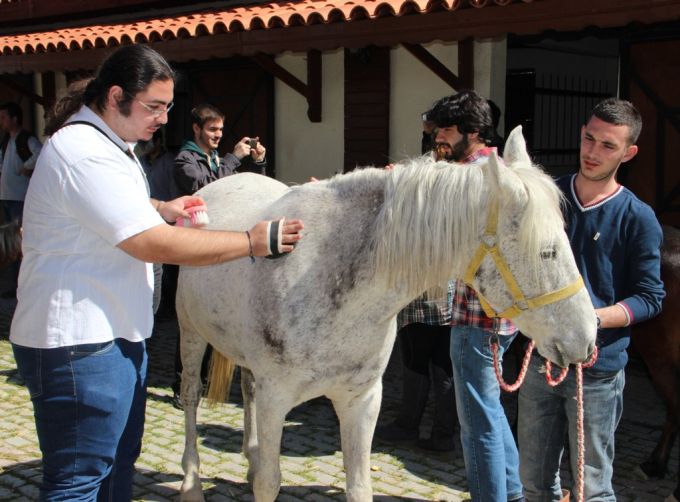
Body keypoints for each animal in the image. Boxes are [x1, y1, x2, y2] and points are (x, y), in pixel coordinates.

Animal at [175, 128, 596, 502]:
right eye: (547, 251)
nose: (587, 338)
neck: (321, 274)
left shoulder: (361, 400)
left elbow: (359, 487)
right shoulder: (275, 399)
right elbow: (269, 484)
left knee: (246, 391)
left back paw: (249, 459)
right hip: (190, 334)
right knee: (191, 396)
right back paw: (191, 484)